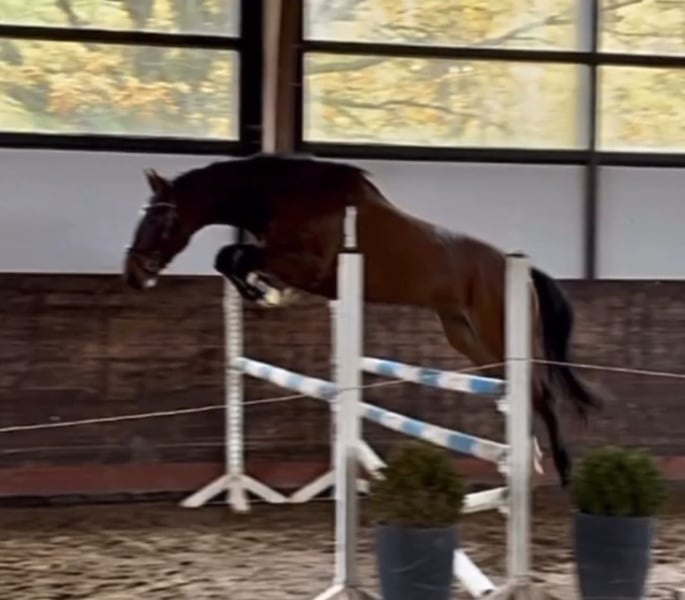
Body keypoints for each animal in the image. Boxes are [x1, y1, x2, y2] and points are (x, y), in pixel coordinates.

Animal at [123, 152, 604, 488]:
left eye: (159, 219)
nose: (134, 274)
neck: (284, 195)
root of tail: (519, 268)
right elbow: (230, 258)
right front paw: (262, 293)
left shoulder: (306, 266)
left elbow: (234, 255)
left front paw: (265, 294)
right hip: (464, 335)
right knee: (520, 389)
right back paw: (528, 455)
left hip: (498, 329)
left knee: (541, 392)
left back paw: (560, 470)